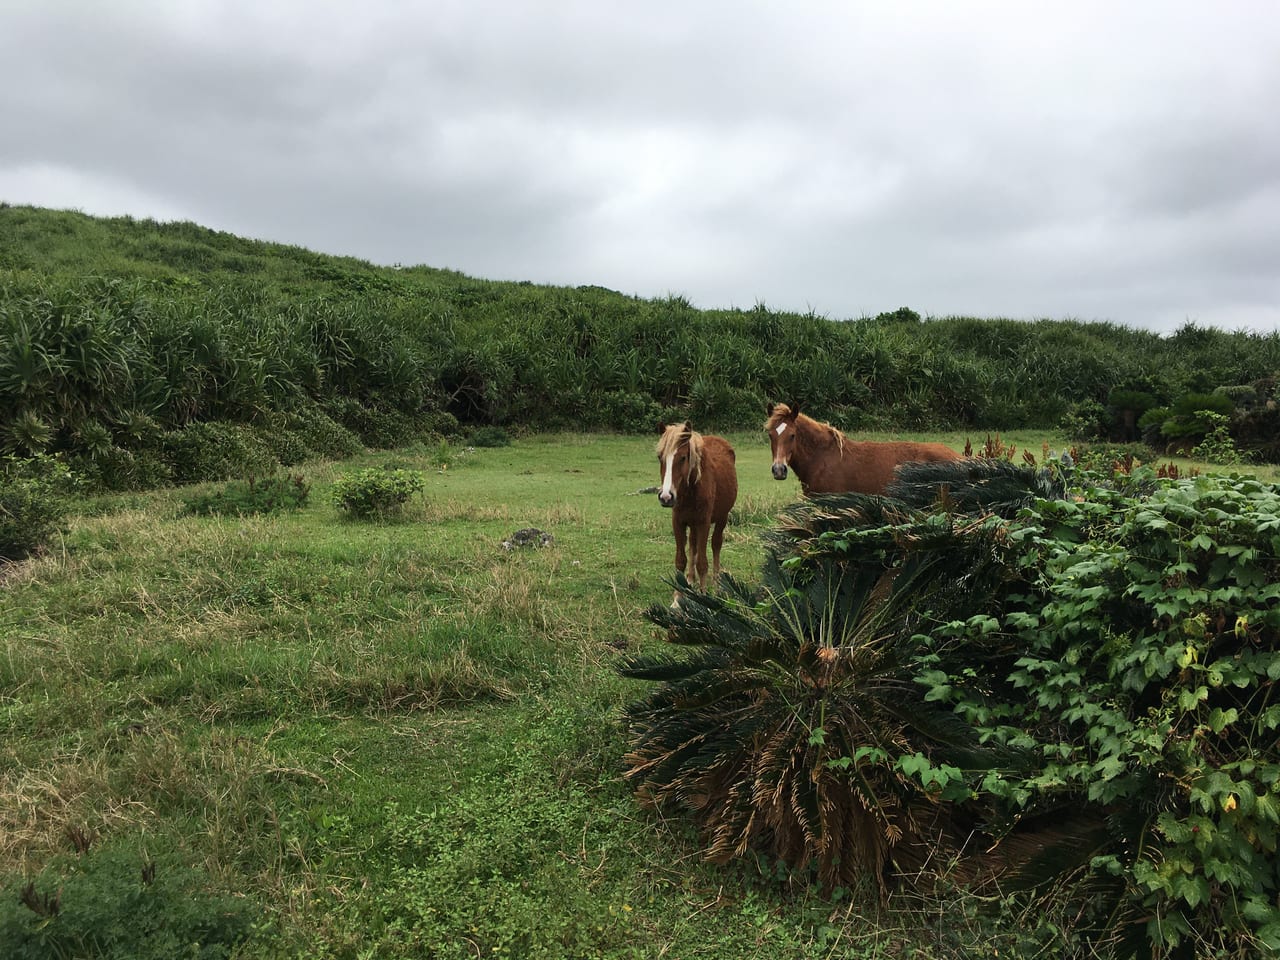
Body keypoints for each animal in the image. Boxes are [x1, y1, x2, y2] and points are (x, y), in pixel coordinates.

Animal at [655, 419, 737, 601]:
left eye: (683, 457)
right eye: (660, 457)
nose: (666, 497)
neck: (690, 491)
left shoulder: (703, 523)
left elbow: (702, 562)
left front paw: (703, 594)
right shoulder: (678, 522)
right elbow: (681, 559)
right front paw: (678, 597)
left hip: (721, 518)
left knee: (716, 545)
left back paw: (716, 585)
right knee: (693, 544)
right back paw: (690, 580)